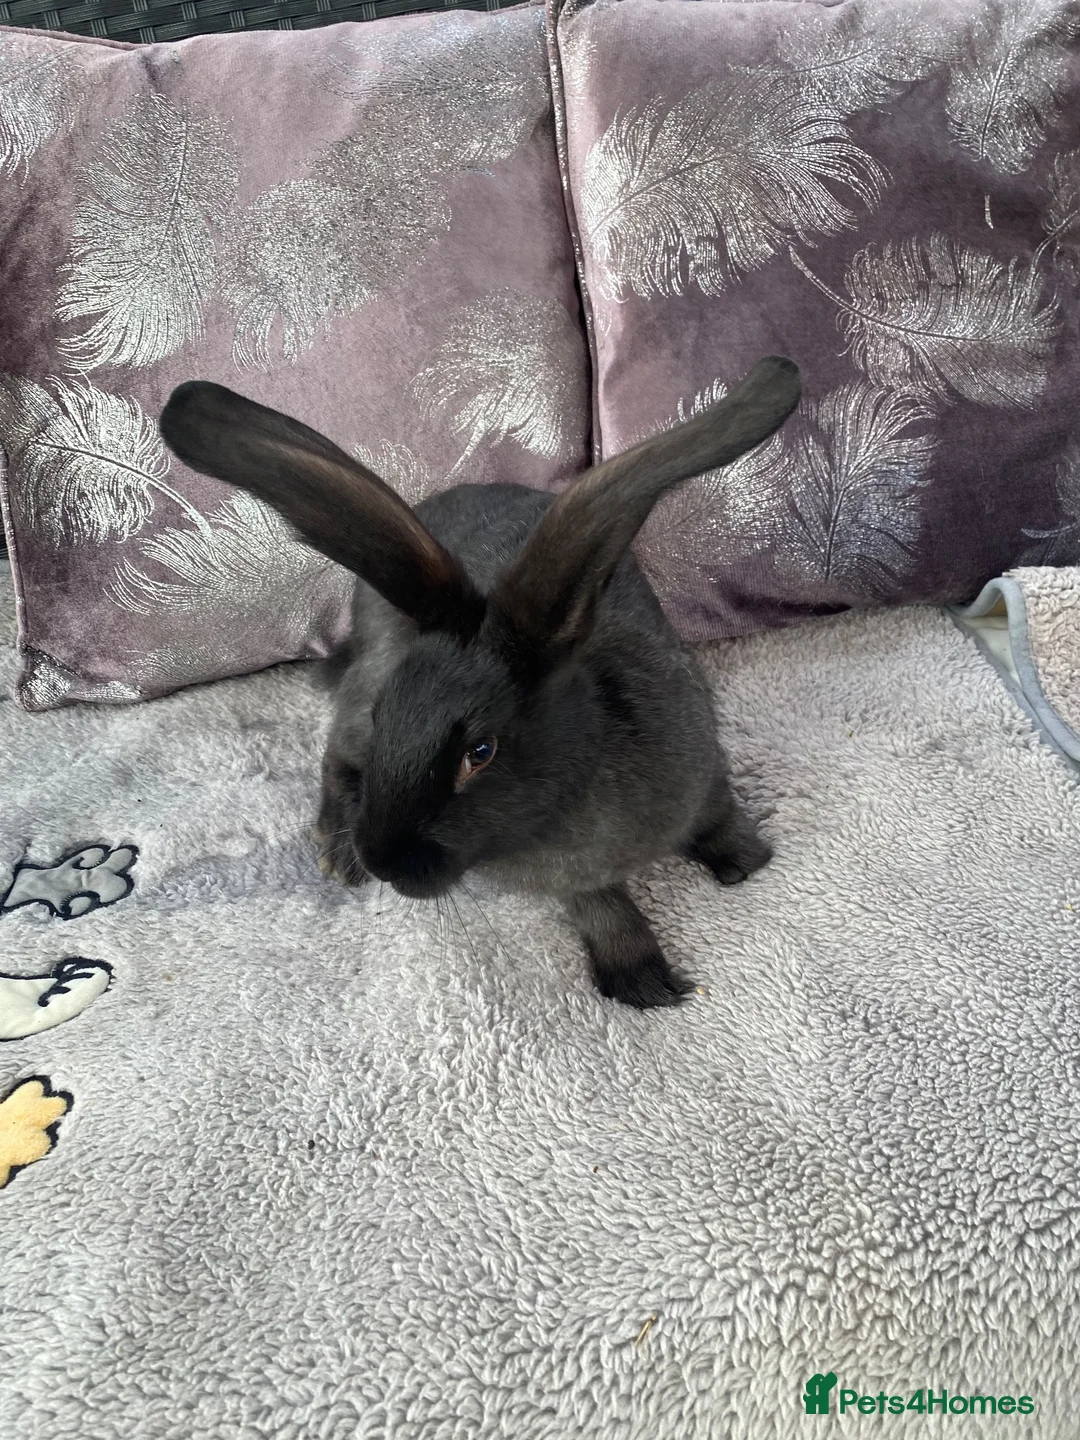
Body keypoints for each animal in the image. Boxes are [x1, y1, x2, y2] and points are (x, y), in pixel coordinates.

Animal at [159, 355, 801, 1008]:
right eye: (388, 718)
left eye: (481, 751)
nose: (385, 862)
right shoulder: (576, 884)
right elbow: (601, 908)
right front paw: (643, 981)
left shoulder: (706, 771)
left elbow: (720, 816)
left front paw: (748, 862)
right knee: (336, 750)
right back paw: (338, 852)